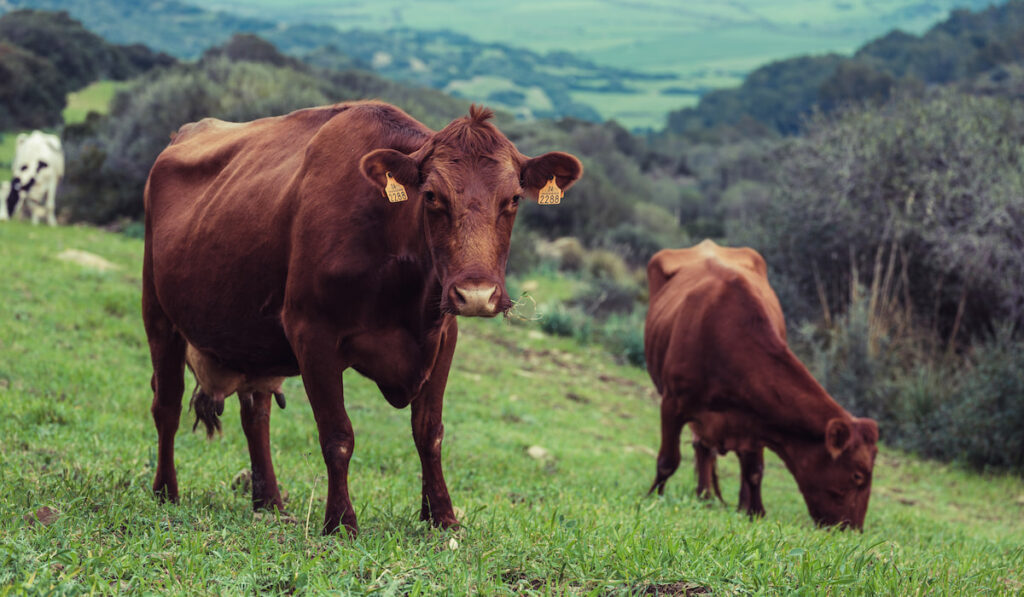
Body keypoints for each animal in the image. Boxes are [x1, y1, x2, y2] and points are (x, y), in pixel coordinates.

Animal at [143, 101, 582, 535]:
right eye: (432, 196)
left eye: (514, 199)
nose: (476, 295)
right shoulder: (311, 332)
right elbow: (337, 434)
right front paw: (340, 522)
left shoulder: (443, 336)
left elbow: (430, 432)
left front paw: (443, 517)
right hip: (158, 313)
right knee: (167, 404)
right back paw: (166, 492)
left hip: (252, 341)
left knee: (256, 414)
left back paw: (270, 503)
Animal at [644, 240, 878, 529]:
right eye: (858, 475)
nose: (852, 529)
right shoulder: (672, 404)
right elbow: (668, 460)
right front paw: (653, 497)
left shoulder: (757, 419)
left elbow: (754, 471)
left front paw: (754, 512)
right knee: (703, 450)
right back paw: (705, 497)